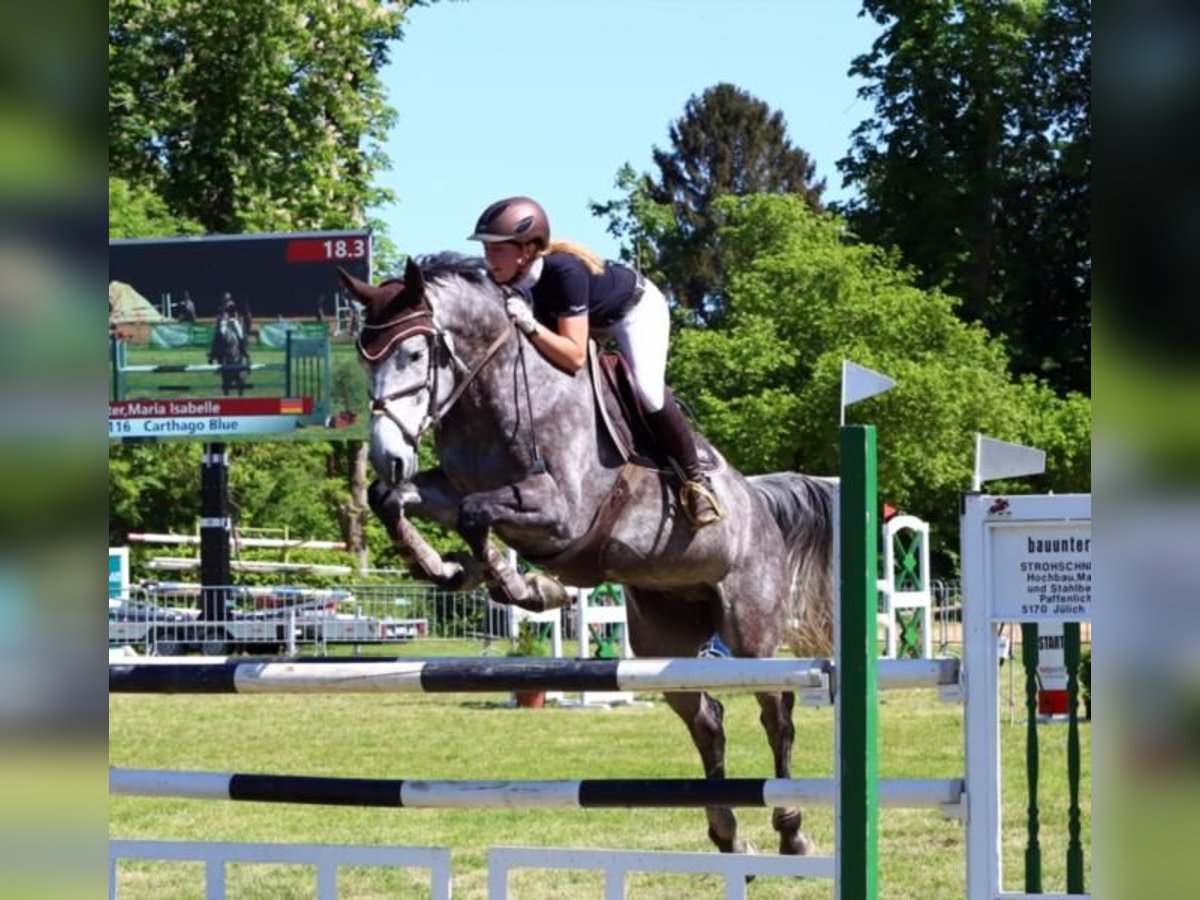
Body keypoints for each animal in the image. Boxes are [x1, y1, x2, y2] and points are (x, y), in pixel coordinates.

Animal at [342, 252, 835, 859]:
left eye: (414, 354)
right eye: (363, 361)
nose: (388, 457)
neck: (492, 395)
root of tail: (760, 501)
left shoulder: (562, 512)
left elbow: (478, 515)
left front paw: (524, 586)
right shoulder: (452, 489)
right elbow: (395, 501)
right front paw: (446, 568)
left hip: (751, 628)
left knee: (776, 711)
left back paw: (792, 828)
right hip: (662, 638)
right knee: (707, 719)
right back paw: (727, 833)